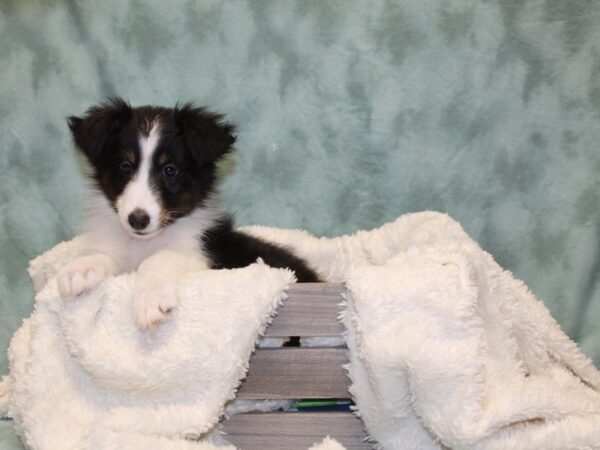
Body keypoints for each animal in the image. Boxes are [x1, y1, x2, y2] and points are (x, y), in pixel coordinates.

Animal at [57, 99, 318, 330]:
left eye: (169, 170)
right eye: (126, 167)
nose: (138, 220)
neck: (142, 244)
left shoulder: (202, 257)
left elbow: (159, 258)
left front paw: (150, 303)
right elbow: (103, 255)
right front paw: (78, 270)